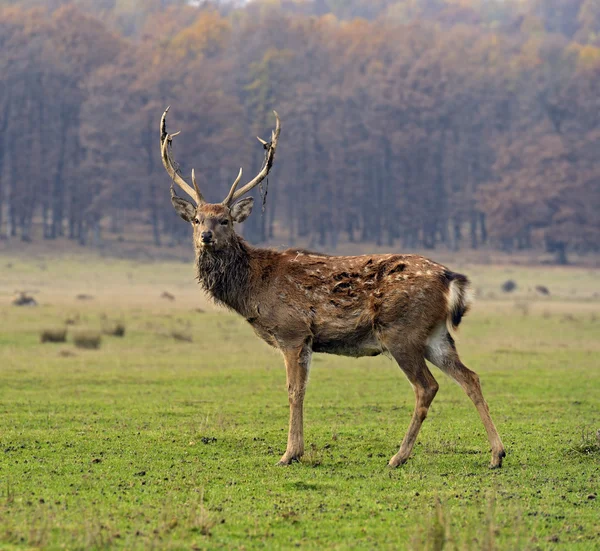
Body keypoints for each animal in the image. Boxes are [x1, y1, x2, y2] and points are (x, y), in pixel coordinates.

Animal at [159, 108, 506, 470]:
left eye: (225, 220)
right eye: (197, 219)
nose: (206, 237)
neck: (254, 289)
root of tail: (449, 278)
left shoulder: (292, 331)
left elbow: (293, 391)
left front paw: (289, 454)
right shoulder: (308, 340)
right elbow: (301, 389)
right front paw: (295, 450)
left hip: (401, 330)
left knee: (427, 386)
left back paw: (398, 456)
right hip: (435, 333)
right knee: (470, 377)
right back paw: (496, 454)